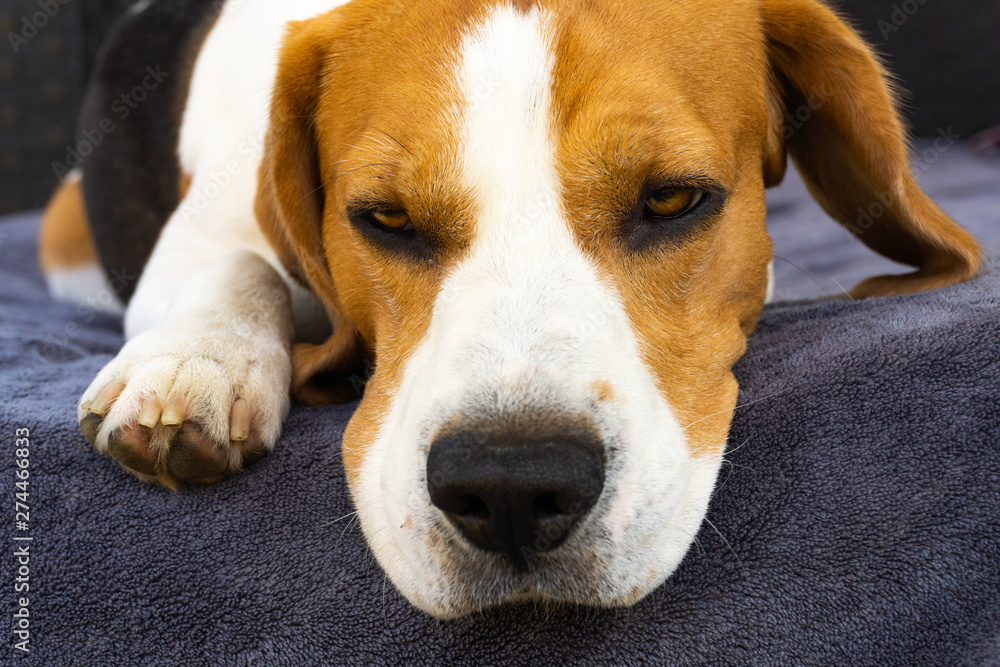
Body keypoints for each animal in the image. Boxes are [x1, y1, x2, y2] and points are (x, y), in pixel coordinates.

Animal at [37, 0, 976, 620]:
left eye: (673, 199)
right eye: (385, 218)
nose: (512, 487)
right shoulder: (196, 236)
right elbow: (236, 262)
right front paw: (197, 362)